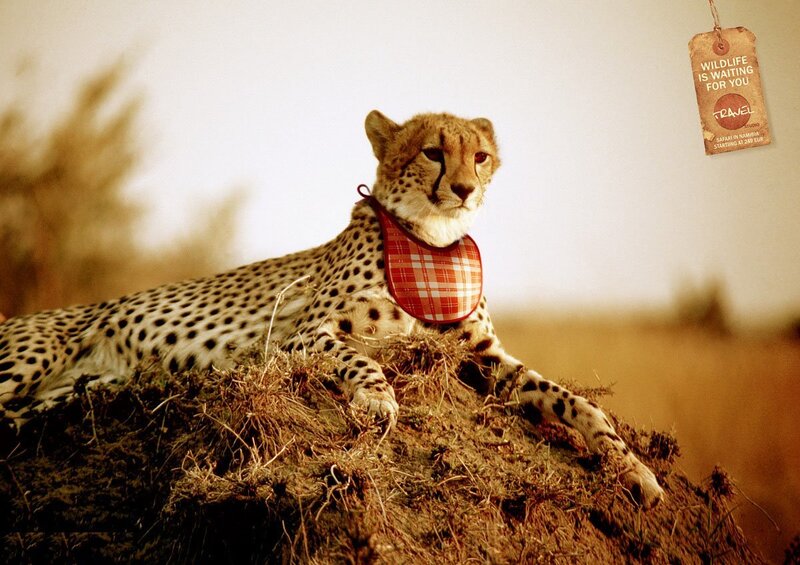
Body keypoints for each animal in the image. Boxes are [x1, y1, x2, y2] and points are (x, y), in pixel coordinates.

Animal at [0, 110, 664, 508]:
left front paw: (634, 469)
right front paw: (377, 399)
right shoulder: (296, 338)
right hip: (30, 360)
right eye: (431, 152)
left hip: (67, 393)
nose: (464, 189)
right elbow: (359, 357)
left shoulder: (484, 356)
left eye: (479, 157)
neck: (432, 244)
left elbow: (572, 401)